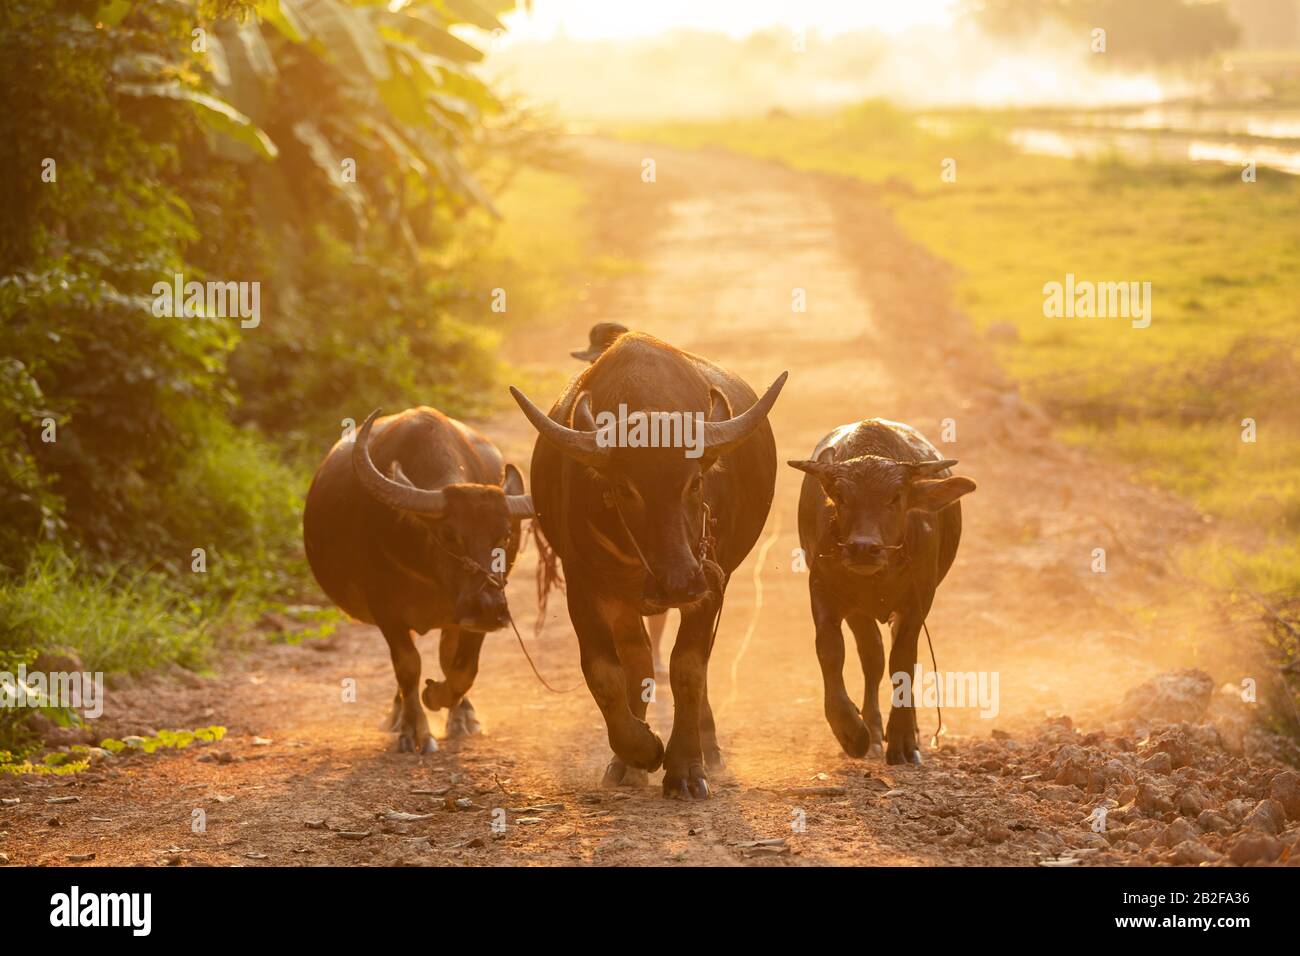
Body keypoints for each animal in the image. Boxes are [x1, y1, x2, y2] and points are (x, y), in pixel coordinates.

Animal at [301, 408, 530, 754]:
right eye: (448, 534)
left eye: (504, 535)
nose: (489, 607)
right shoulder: (385, 610)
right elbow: (408, 666)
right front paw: (415, 730)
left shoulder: (472, 618)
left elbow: (461, 668)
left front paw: (439, 698)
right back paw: (398, 715)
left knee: (447, 655)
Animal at [514, 332, 780, 796]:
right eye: (625, 488)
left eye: (694, 481)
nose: (677, 584)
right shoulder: (584, 585)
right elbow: (604, 673)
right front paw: (640, 750)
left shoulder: (711, 580)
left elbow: (688, 668)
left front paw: (687, 767)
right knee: (636, 658)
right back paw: (628, 763)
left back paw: (708, 745)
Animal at [780, 421, 977, 764]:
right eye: (841, 496)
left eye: (895, 497)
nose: (863, 548)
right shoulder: (825, 593)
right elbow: (831, 651)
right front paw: (851, 730)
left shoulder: (918, 600)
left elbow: (903, 661)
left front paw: (903, 740)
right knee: (872, 657)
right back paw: (872, 733)